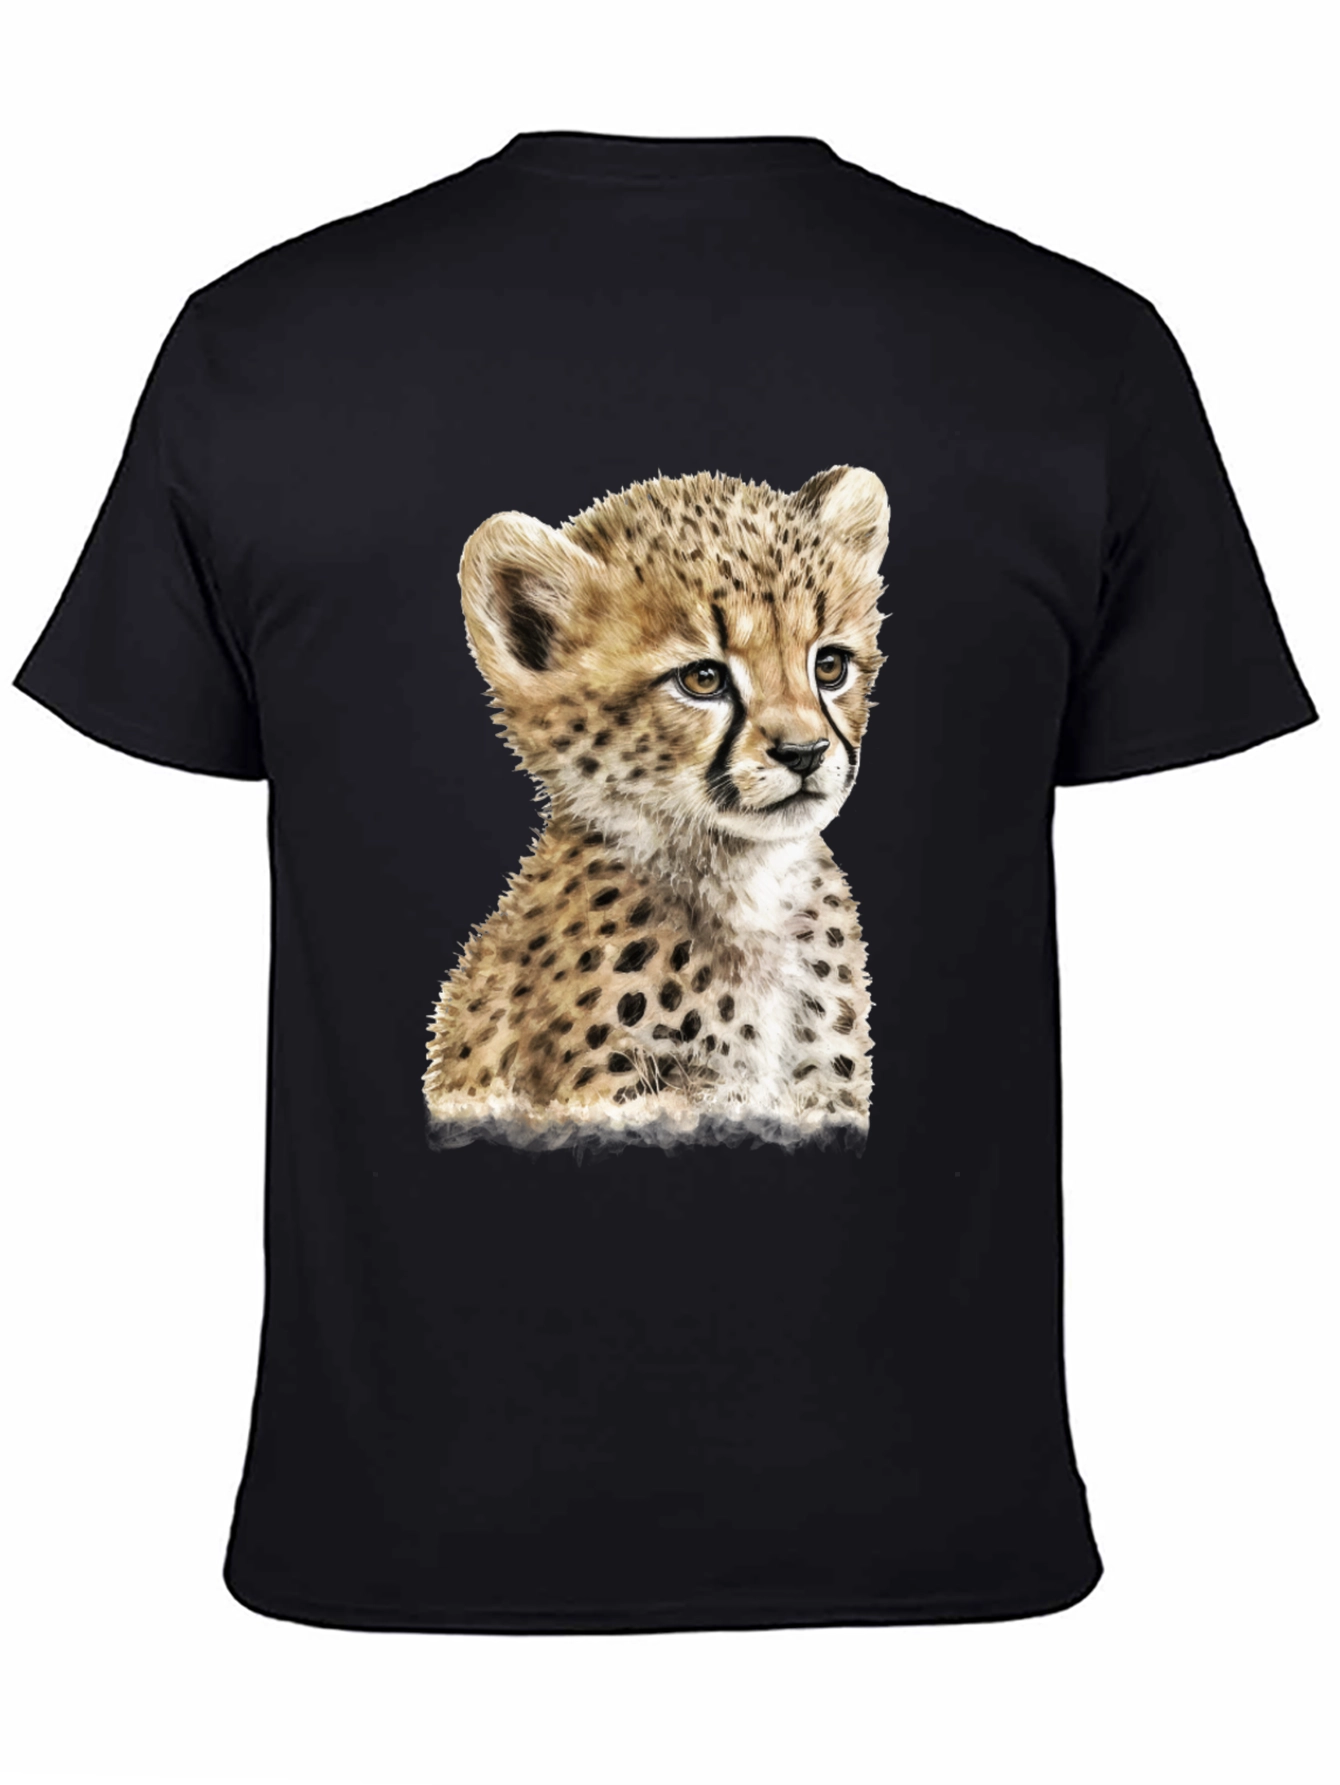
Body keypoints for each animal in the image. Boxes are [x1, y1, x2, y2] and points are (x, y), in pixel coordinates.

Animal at [423, 463, 889, 1142]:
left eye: (829, 665)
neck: (748, 883)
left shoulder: (823, 1093)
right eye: (703, 679)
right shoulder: (617, 1098)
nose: (804, 753)